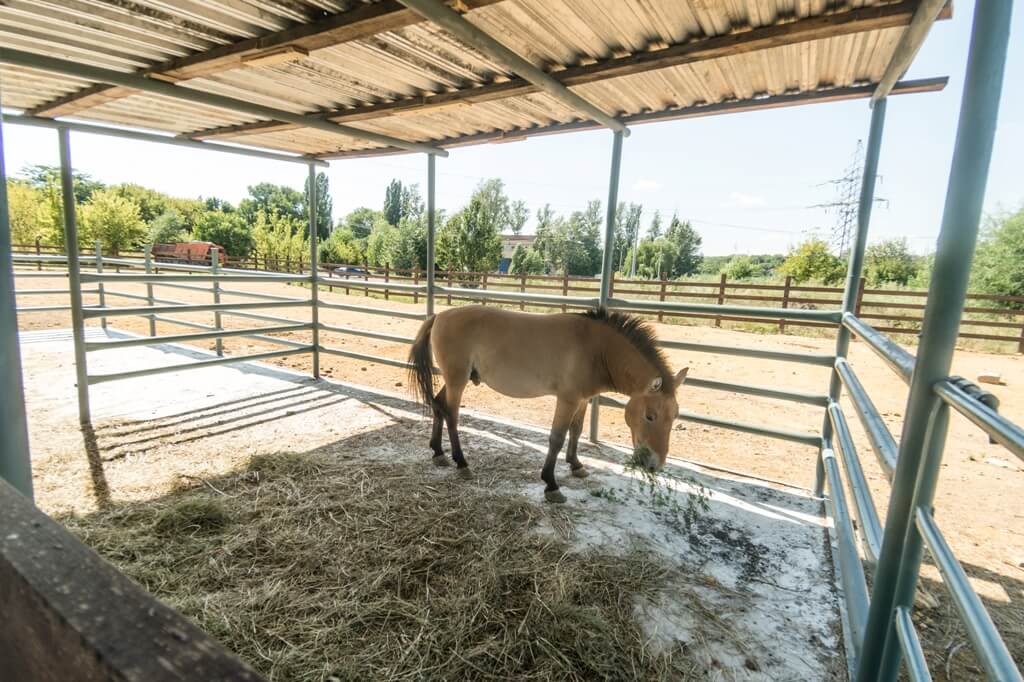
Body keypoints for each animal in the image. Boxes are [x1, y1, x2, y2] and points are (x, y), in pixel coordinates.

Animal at [407, 305, 688, 501]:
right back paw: (461, 462)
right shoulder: (567, 400)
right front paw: (551, 484)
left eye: (674, 416)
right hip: (458, 380)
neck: (596, 349)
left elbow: (576, 431)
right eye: (650, 416)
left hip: (454, 380)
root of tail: (439, 316)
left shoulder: (582, 400)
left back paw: (438, 453)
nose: (655, 465)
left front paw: (576, 465)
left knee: (438, 405)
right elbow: (557, 438)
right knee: (452, 415)